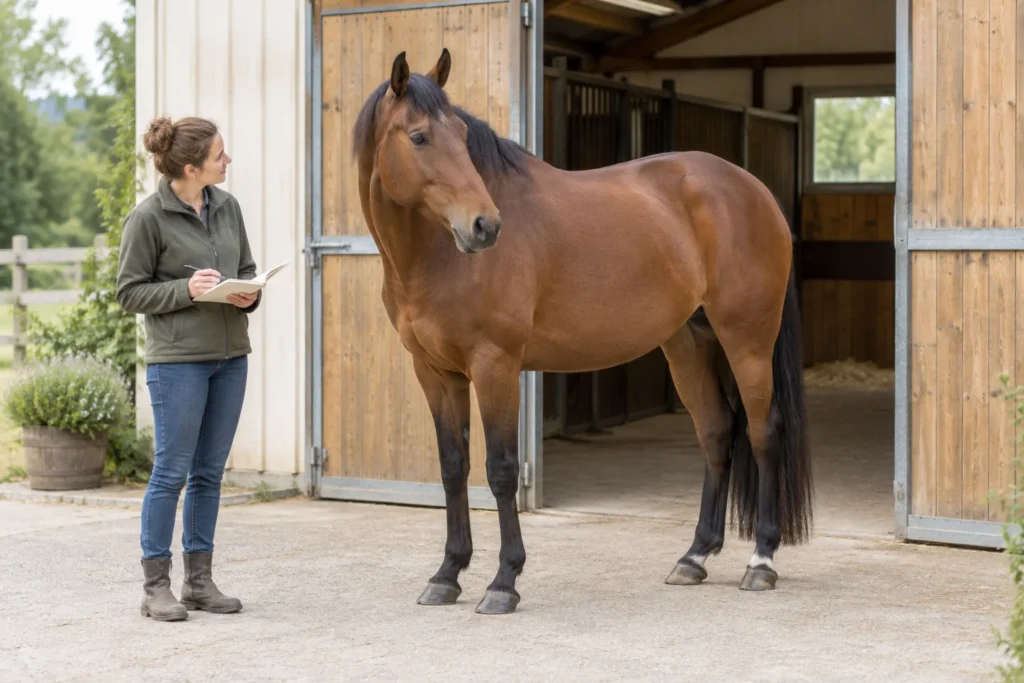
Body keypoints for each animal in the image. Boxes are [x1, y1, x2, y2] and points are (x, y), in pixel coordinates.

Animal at [350, 48, 813, 615]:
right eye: (419, 137)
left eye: (460, 133)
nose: (485, 226)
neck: (436, 256)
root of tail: (755, 191)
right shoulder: (436, 372)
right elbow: (453, 467)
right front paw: (447, 575)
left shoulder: (495, 364)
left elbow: (501, 470)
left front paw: (503, 582)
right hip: (688, 343)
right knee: (716, 431)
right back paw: (694, 557)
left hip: (747, 341)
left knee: (763, 432)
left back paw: (762, 562)